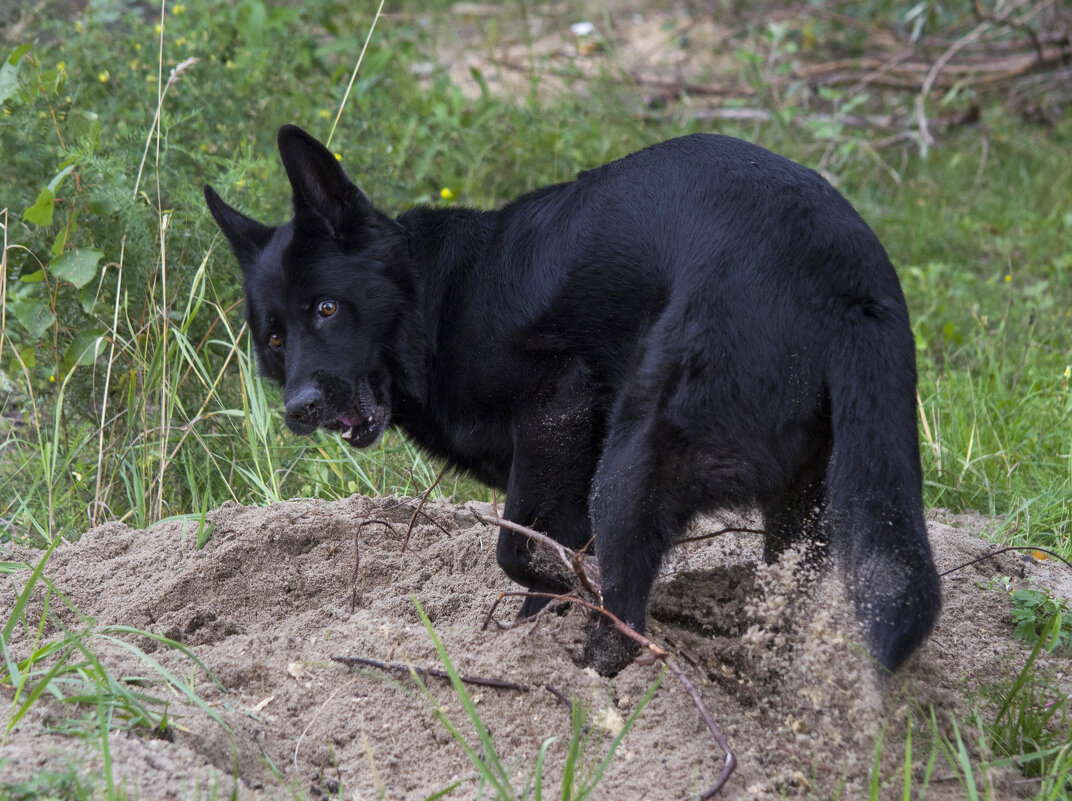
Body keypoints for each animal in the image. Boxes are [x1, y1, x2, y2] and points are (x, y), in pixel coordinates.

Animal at [204, 125, 943, 677]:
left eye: (327, 308)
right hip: (805, 503)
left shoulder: (557, 407)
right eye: (274, 338)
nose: (300, 407)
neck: (435, 298)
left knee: (626, 615)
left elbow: (520, 552)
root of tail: (841, 277)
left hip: (632, 466)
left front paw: (543, 624)